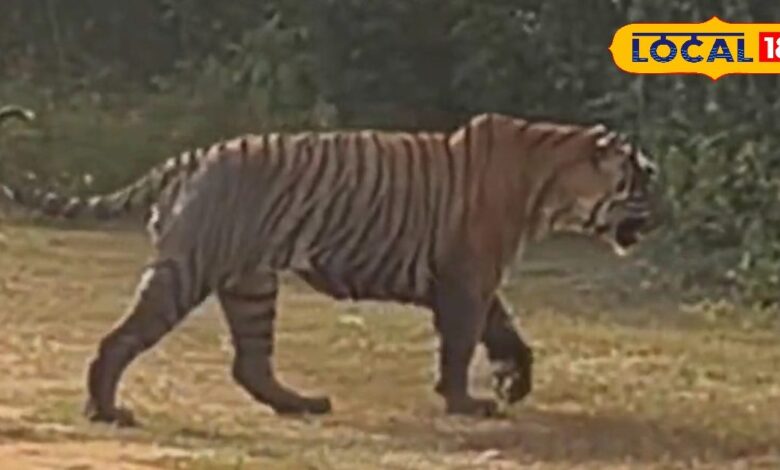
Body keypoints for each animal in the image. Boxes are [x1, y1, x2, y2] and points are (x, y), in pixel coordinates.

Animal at [0, 112, 658, 425]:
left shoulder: (476, 277)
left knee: (250, 363)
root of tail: (192, 155)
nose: (659, 216)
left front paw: (511, 381)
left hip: (251, 284)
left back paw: (302, 403)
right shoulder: (468, 278)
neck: (554, 182)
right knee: (120, 339)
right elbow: (461, 344)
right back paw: (106, 411)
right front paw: (466, 402)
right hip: (187, 270)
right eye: (642, 180)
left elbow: (507, 333)